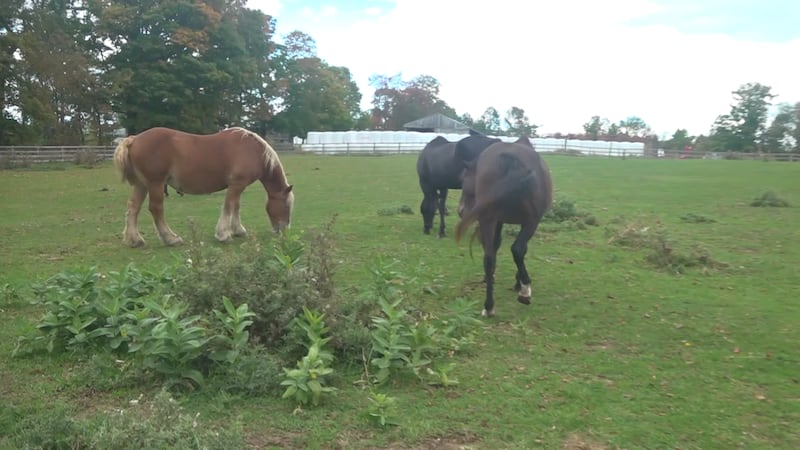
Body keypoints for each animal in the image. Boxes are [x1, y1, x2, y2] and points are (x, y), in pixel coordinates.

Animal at [113, 126, 294, 248]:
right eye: (286, 205)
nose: (284, 230)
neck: (253, 151)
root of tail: (134, 139)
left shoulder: (237, 186)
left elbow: (236, 206)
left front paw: (238, 230)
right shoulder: (237, 185)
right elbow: (229, 206)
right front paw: (223, 234)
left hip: (142, 185)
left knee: (133, 208)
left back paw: (134, 240)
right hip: (155, 184)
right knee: (156, 209)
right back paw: (171, 238)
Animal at [455, 136, 552, 317]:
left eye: (463, 179)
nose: (461, 210)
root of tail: (510, 159)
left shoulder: (498, 220)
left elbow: (496, 247)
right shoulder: (526, 223)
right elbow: (522, 250)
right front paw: (518, 284)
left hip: (488, 219)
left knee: (488, 257)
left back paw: (489, 306)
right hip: (531, 222)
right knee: (517, 249)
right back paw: (525, 291)